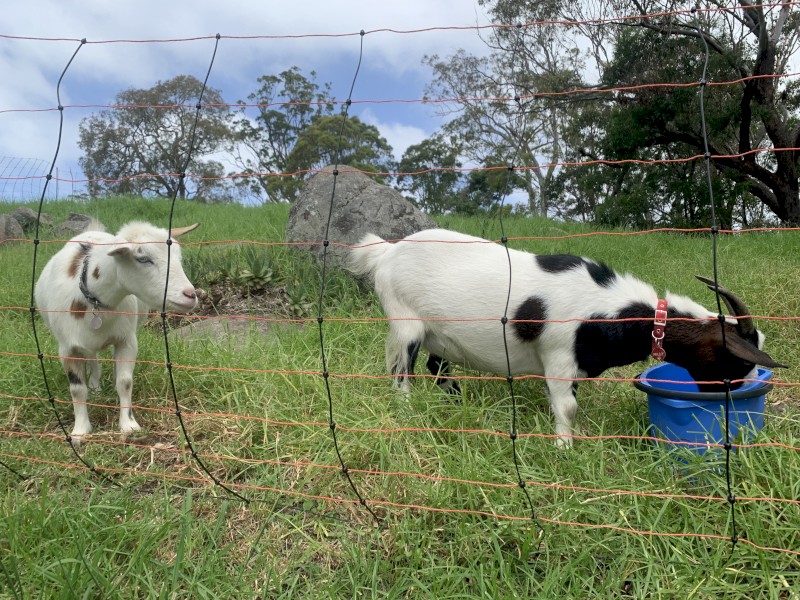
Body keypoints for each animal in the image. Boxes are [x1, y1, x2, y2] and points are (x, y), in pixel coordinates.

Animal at [34, 220, 199, 441]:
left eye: (178, 257)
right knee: (92, 358)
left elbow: (125, 381)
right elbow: (77, 389)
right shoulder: (68, 348)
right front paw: (80, 431)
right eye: (143, 258)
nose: (190, 295)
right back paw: (95, 388)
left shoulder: (126, 340)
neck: (96, 302)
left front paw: (128, 425)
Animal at [349, 228, 785, 446]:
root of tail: (385, 252)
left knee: (436, 365)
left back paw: (456, 404)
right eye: (738, 360)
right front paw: (564, 449)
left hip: (439, 335)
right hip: (405, 320)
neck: (606, 305)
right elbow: (567, 406)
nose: (741, 394)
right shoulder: (558, 354)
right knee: (401, 372)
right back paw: (409, 413)